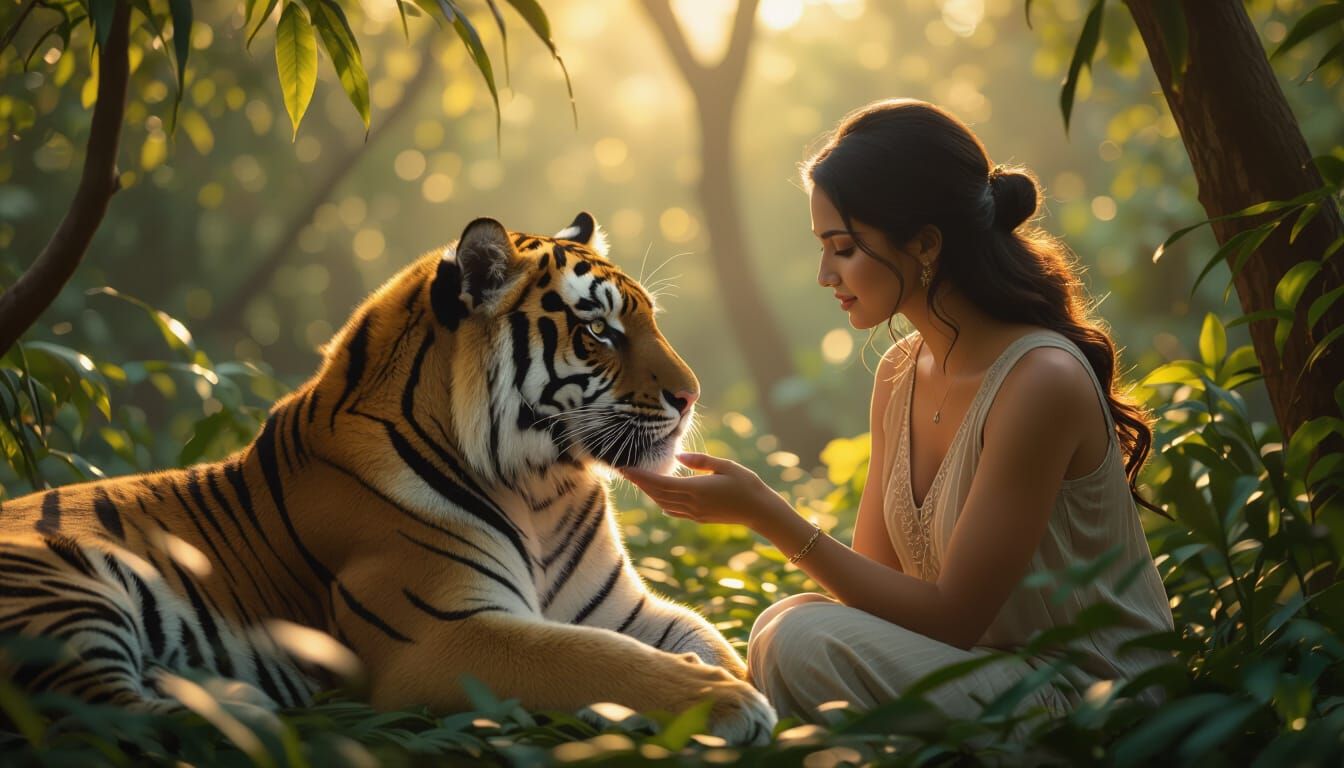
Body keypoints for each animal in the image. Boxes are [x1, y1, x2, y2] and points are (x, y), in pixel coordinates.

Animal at [0, 213, 777, 744]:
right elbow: (592, 661)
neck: (541, 488)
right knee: (96, 710)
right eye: (599, 332)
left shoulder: (623, 608)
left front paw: (742, 679)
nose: (691, 396)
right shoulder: (443, 636)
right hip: (67, 590)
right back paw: (247, 711)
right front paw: (728, 702)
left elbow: (710, 638)